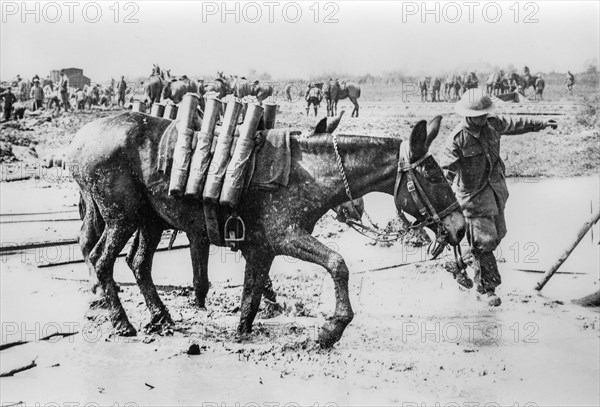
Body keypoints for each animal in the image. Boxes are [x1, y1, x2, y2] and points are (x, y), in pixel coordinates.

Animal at [68, 113, 466, 350]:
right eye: (433, 175)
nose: (459, 228)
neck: (307, 172)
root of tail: (78, 142)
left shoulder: (262, 249)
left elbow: (252, 294)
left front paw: (243, 332)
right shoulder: (285, 238)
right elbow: (338, 264)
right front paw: (332, 328)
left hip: (148, 221)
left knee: (138, 263)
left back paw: (160, 317)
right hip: (122, 219)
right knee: (101, 261)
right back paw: (122, 323)